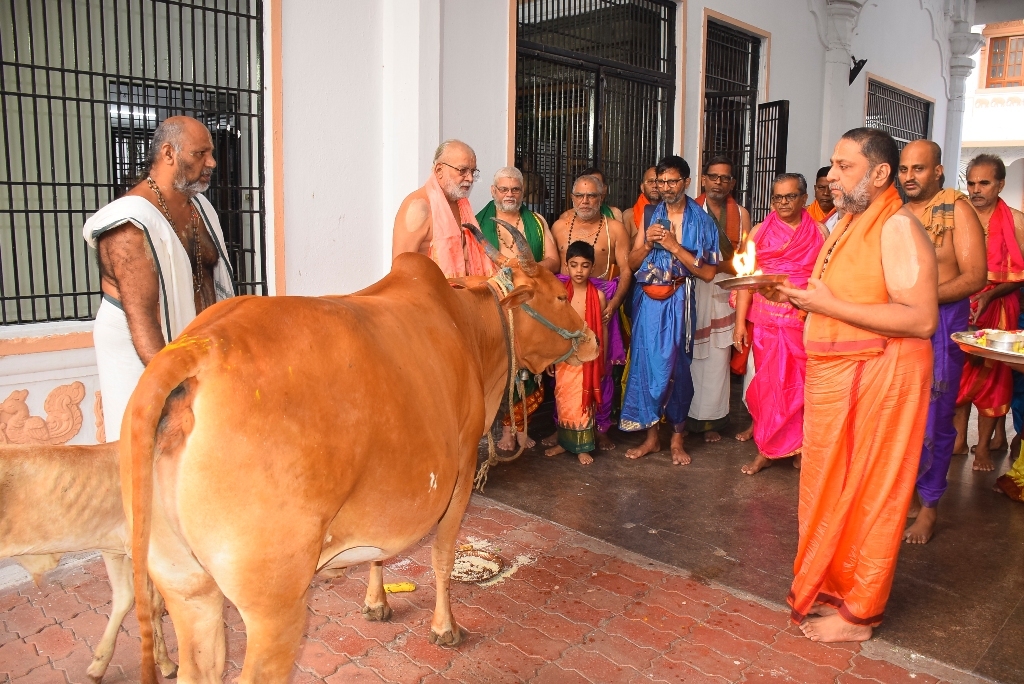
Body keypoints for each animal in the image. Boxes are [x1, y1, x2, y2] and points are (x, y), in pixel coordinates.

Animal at [122, 225, 598, 684]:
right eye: (560, 296)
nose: (593, 339)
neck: (468, 327)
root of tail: (198, 348)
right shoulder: (461, 475)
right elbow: (442, 556)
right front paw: (445, 628)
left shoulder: (386, 498)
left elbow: (380, 552)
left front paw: (376, 602)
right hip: (274, 606)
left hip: (185, 585)